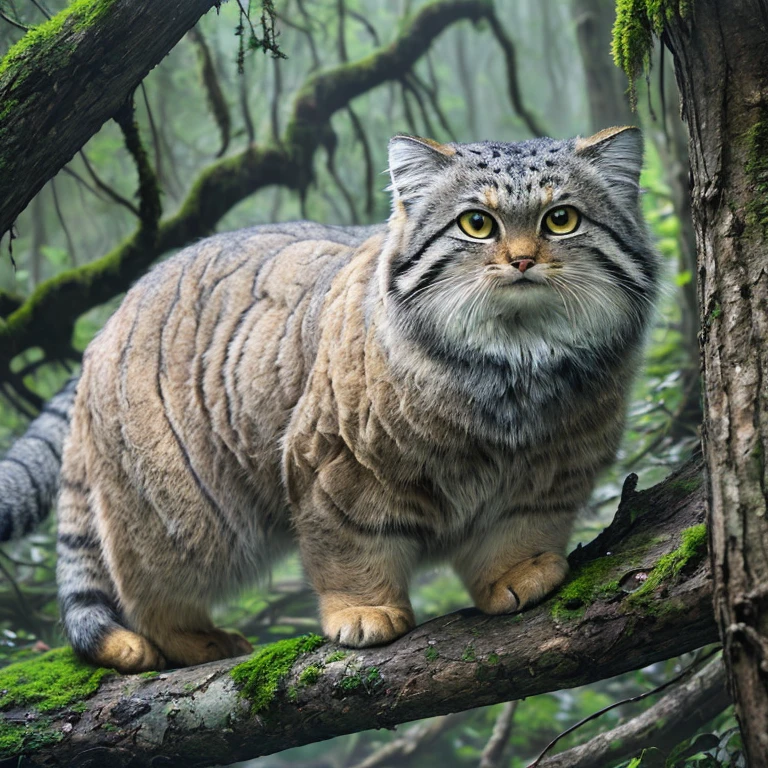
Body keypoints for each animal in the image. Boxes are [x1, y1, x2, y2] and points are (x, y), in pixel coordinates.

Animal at [55, 127, 660, 672]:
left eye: (560, 219)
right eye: (477, 224)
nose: (522, 261)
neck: (515, 366)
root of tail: (108, 325)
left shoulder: (553, 472)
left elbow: (519, 528)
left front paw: (517, 573)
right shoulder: (333, 466)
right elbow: (348, 544)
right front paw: (364, 609)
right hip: (182, 515)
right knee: (149, 593)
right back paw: (195, 640)